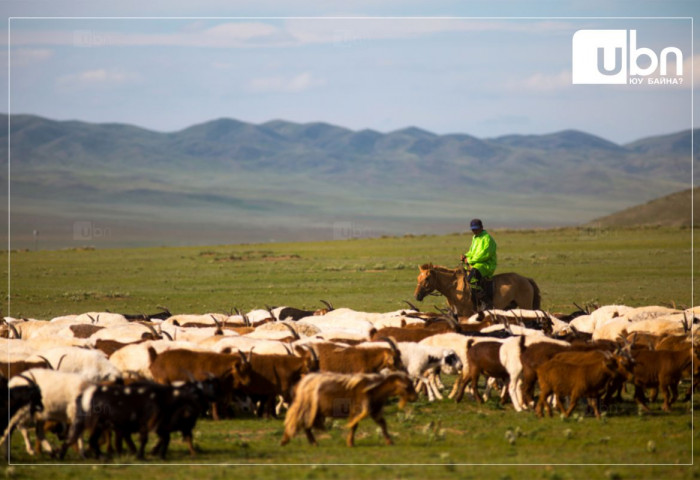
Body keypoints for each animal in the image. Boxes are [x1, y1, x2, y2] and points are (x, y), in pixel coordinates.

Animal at [280, 372, 416, 446]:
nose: (415, 397)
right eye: (407, 386)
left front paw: (389, 441)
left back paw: (311, 442)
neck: (373, 389)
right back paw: (288, 440)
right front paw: (350, 442)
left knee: (306, 426)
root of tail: (300, 383)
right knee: (299, 422)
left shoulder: (374, 411)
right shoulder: (356, 411)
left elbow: (382, 424)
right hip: (305, 407)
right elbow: (354, 426)